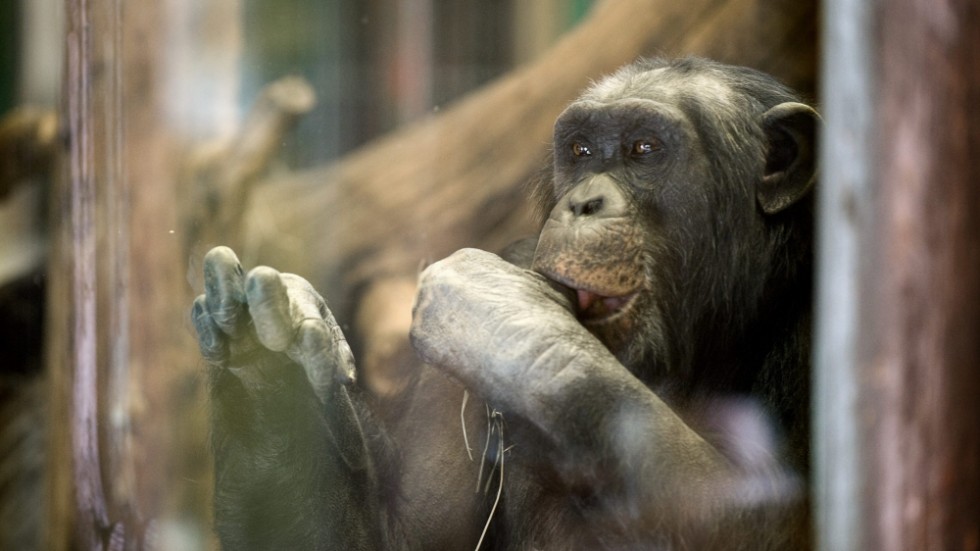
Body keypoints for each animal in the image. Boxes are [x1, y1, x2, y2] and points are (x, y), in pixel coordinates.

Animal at [193, 58, 820, 548]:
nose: (584, 201)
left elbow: (769, 517)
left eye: (644, 148)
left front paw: (498, 313)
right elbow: (410, 540)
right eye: (581, 150)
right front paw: (263, 366)